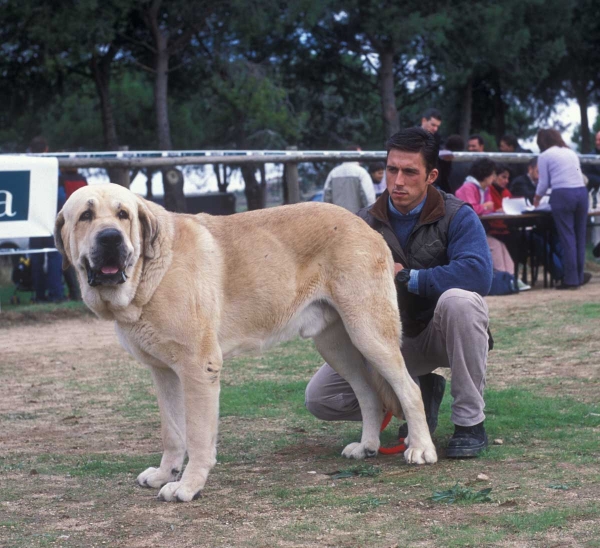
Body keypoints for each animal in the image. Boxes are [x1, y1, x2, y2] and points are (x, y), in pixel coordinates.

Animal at [54, 183, 436, 500]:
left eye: (123, 215)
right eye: (86, 216)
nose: (110, 239)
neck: (151, 273)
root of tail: (365, 226)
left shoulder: (198, 369)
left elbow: (197, 435)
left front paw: (188, 486)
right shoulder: (164, 373)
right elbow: (172, 432)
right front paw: (166, 474)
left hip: (370, 333)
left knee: (409, 389)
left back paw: (421, 449)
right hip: (337, 346)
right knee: (369, 394)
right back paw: (367, 446)